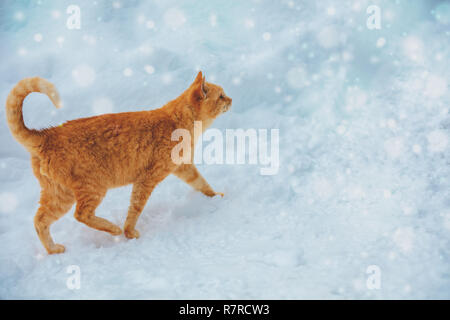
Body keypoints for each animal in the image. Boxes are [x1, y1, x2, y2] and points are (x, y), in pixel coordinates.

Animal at [5, 71, 232, 254]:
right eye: (221, 95)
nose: (231, 99)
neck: (180, 122)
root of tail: (47, 135)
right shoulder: (147, 179)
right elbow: (135, 208)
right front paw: (128, 232)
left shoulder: (184, 168)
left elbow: (202, 183)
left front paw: (215, 197)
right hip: (94, 187)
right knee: (81, 214)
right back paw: (112, 228)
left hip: (59, 195)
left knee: (40, 220)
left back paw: (53, 249)